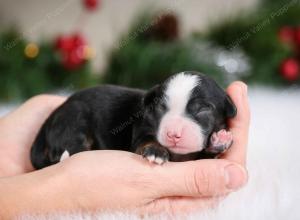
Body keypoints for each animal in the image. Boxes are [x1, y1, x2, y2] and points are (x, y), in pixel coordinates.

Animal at [30, 71, 237, 169]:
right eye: (160, 108)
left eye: (203, 109)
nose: (173, 134)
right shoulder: (142, 130)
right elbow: (146, 141)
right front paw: (156, 151)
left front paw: (219, 141)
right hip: (73, 121)